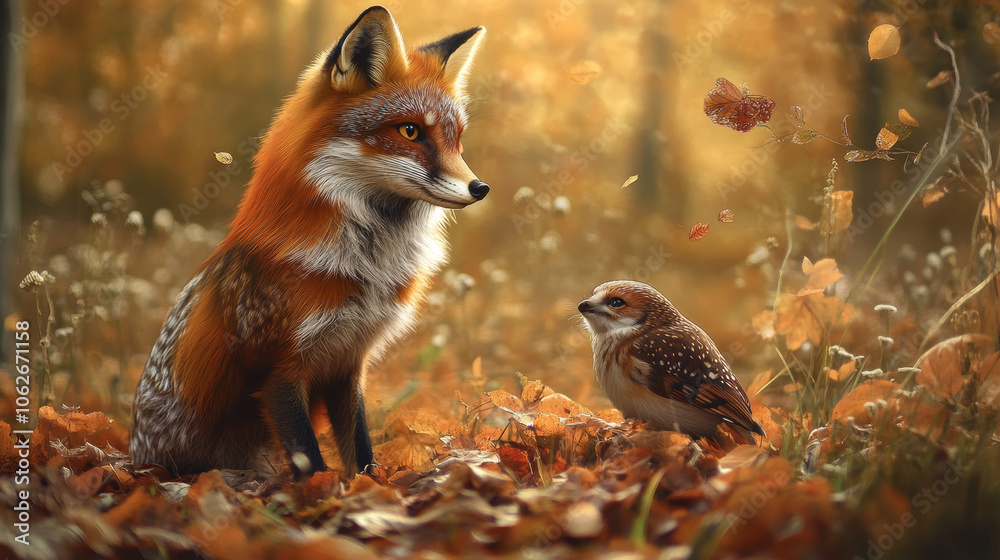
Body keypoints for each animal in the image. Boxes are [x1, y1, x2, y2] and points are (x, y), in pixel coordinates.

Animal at [130, 6, 489, 477]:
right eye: (411, 132)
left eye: (457, 139)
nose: (480, 188)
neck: (367, 266)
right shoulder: (277, 371)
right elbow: (311, 461)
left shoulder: (348, 364)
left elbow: (361, 451)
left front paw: (370, 489)